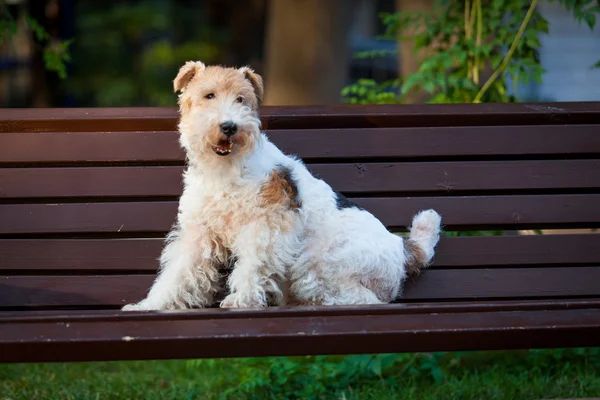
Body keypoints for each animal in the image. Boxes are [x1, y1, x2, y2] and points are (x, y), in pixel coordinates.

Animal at [122, 62, 440, 310]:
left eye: (242, 99)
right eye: (208, 95)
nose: (229, 126)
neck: (226, 170)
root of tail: (404, 248)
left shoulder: (265, 225)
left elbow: (251, 265)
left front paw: (243, 300)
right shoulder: (199, 232)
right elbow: (177, 272)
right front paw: (150, 305)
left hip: (319, 263)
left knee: (362, 298)